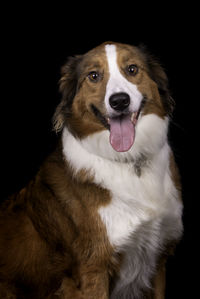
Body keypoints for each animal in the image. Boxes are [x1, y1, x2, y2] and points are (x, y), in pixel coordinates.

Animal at [0, 42, 183, 299]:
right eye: (94, 76)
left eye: (132, 69)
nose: (119, 101)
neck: (128, 160)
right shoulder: (92, 270)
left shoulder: (158, 260)